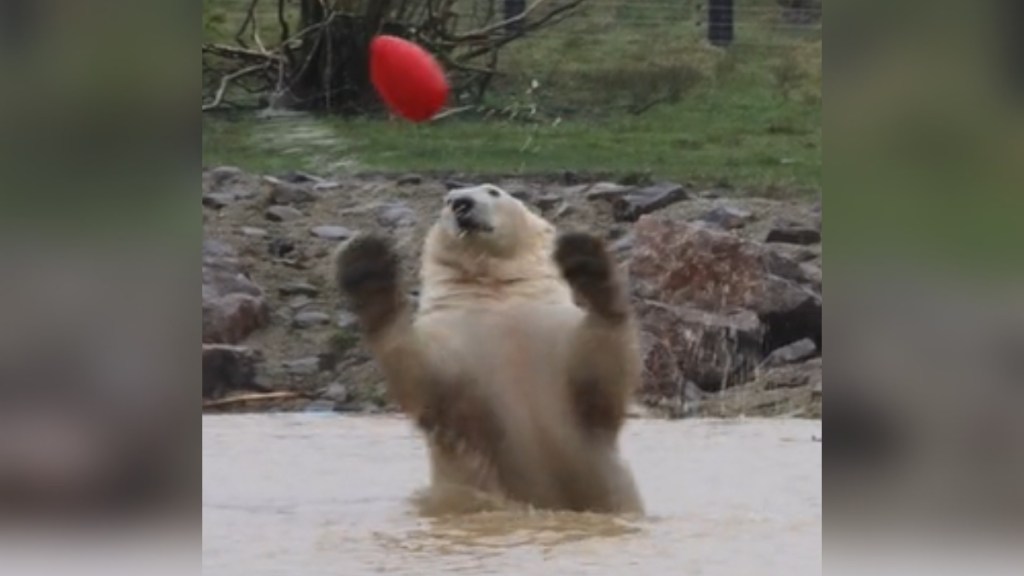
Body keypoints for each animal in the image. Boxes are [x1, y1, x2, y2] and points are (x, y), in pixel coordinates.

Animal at [331, 182, 643, 510]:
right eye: (447, 199)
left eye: (493, 191)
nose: (462, 204)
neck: (497, 296)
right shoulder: (455, 345)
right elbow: (423, 372)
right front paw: (366, 266)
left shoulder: (555, 332)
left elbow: (600, 371)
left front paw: (585, 258)